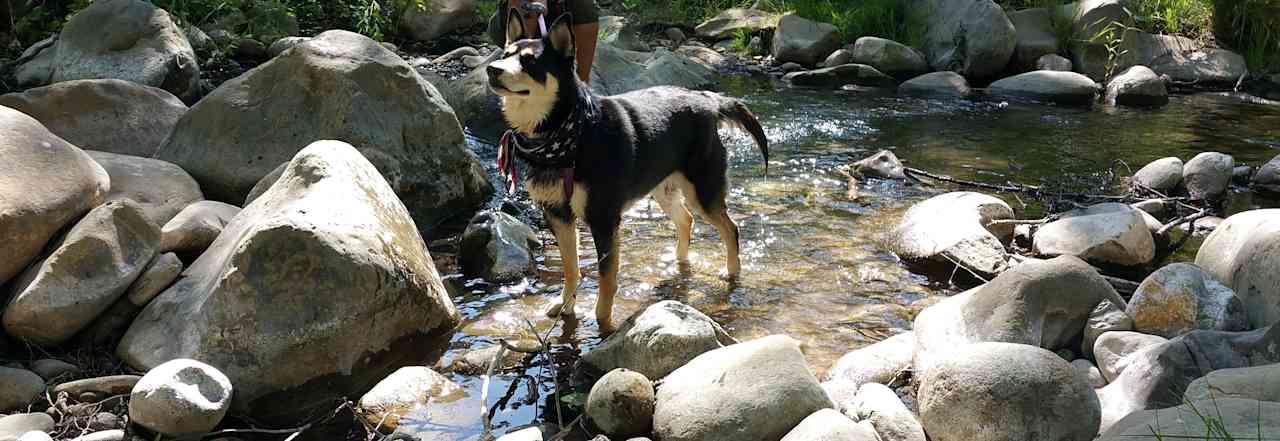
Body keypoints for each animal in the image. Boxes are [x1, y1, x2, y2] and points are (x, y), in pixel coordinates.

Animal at [486, 10, 768, 329]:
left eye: (530, 62)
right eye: (505, 54)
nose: (492, 70)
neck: (569, 133)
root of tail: (707, 100)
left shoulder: (604, 219)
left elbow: (607, 279)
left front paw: (604, 323)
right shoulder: (558, 214)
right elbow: (571, 268)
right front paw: (565, 304)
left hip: (703, 191)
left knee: (730, 228)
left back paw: (731, 272)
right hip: (663, 188)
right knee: (686, 220)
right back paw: (680, 262)